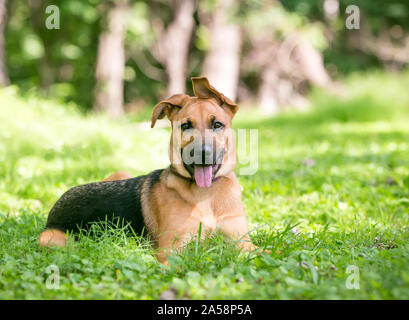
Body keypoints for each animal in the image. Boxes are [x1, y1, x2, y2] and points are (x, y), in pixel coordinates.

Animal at [39, 76, 260, 264]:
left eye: (217, 125)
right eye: (186, 126)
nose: (202, 154)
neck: (208, 195)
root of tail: (55, 208)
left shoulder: (244, 244)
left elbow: (267, 251)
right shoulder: (171, 250)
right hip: (52, 239)